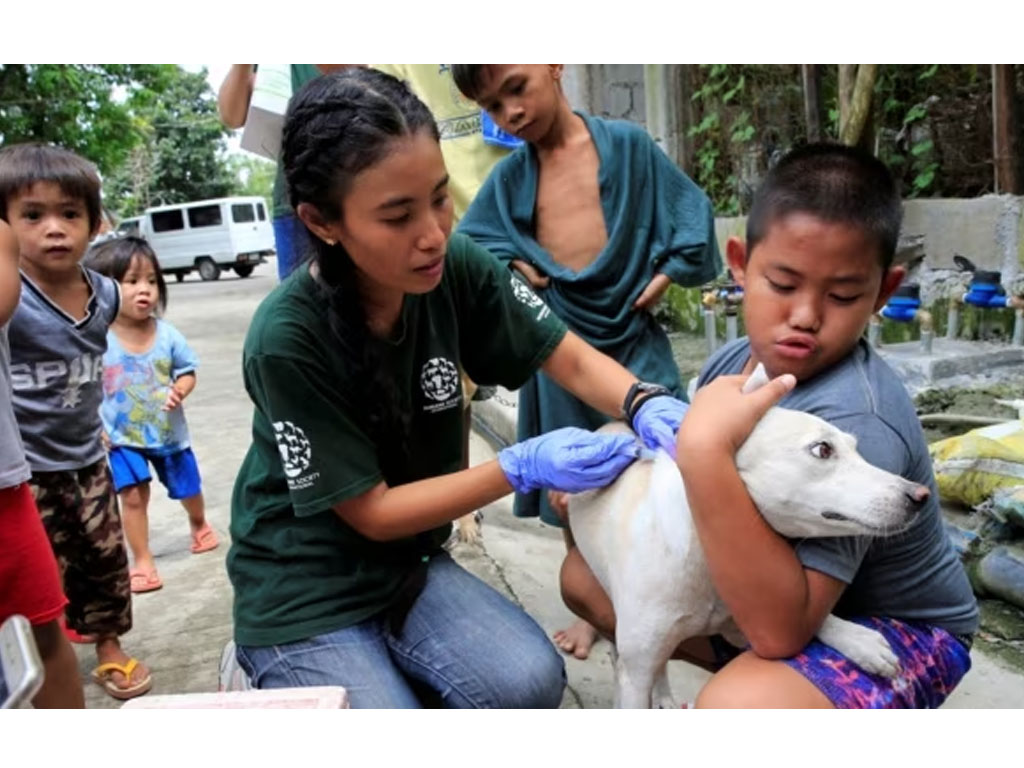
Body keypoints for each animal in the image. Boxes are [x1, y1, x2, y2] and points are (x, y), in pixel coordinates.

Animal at [569, 366, 929, 708]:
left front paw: (855, 638)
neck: (702, 548)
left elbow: (805, 620)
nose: (920, 496)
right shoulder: (637, 671)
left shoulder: (746, 627)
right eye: (823, 449)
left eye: (857, 448)